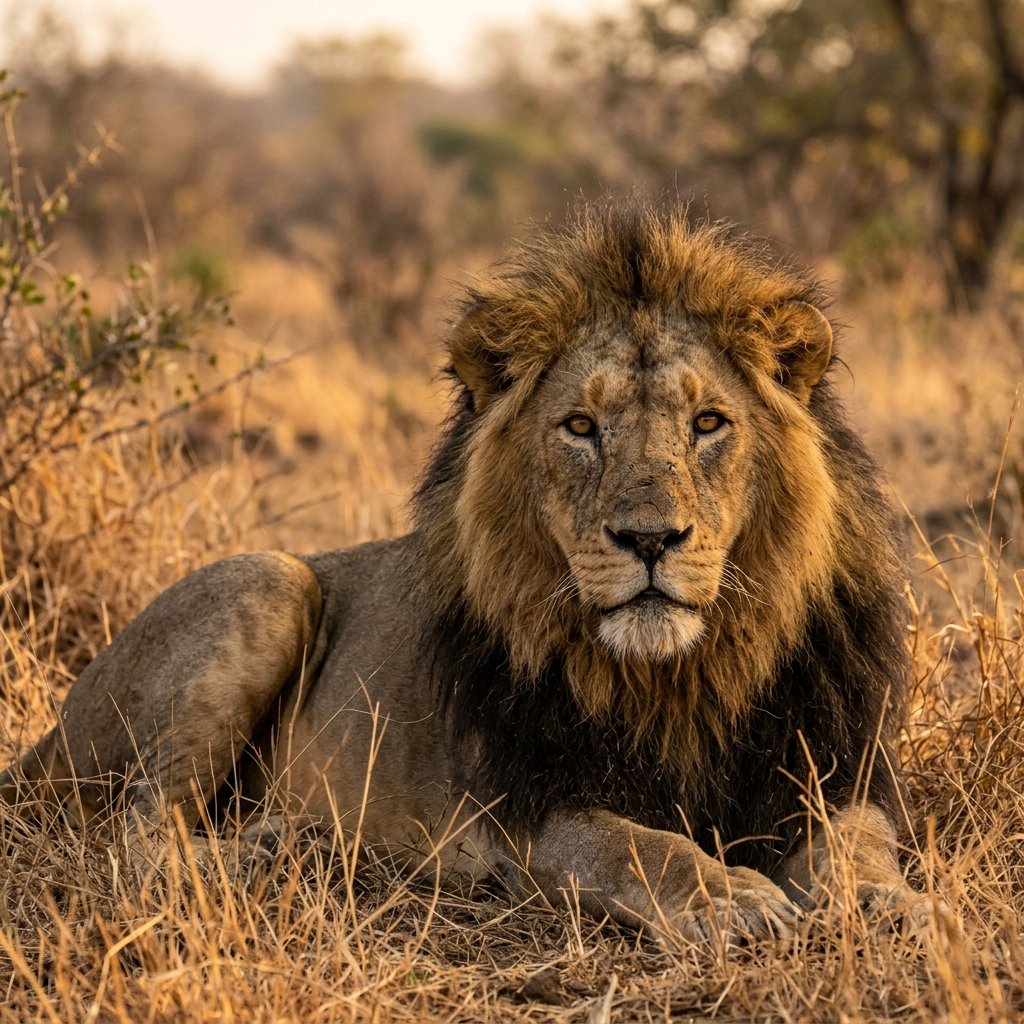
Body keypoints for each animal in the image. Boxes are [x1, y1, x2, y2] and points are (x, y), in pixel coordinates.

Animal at [1, 200, 917, 943]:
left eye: (709, 423)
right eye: (579, 427)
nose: (649, 538)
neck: (682, 677)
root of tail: (47, 736)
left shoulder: (833, 768)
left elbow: (857, 843)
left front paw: (890, 904)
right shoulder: (530, 810)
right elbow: (642, 846)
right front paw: (731, 898)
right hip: (268, 582)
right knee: (137, 829)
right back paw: (267, 851)